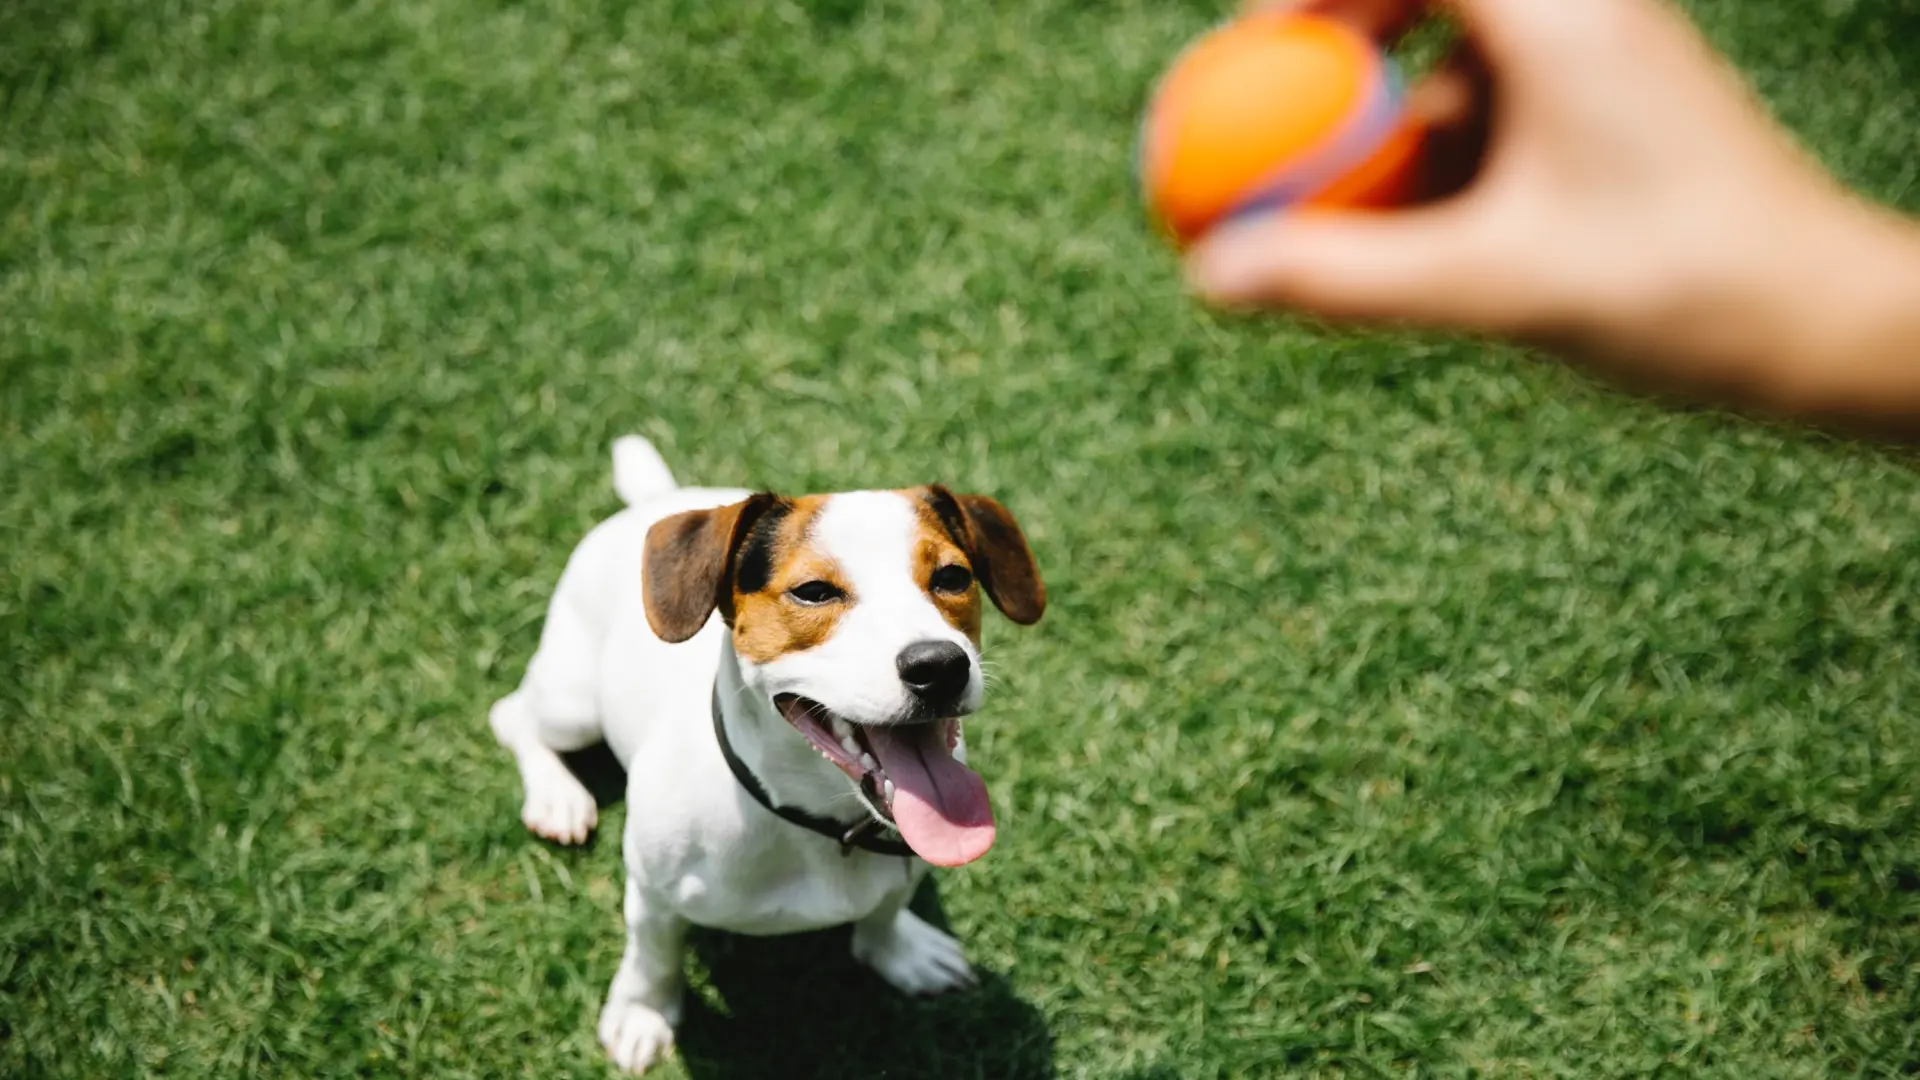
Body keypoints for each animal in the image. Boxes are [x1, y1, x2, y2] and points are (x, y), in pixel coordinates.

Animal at [487, 430, 1044, 1068]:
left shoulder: (903, 868)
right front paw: (641, 1012)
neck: (812, 821)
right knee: (512, 716)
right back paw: (557, 797)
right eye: (813, 591)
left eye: (953, 577)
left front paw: (901, 952)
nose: (940, 666)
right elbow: (652, 956)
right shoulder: (651, 891)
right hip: (573, 704)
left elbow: (883, 912)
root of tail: (659, 498)